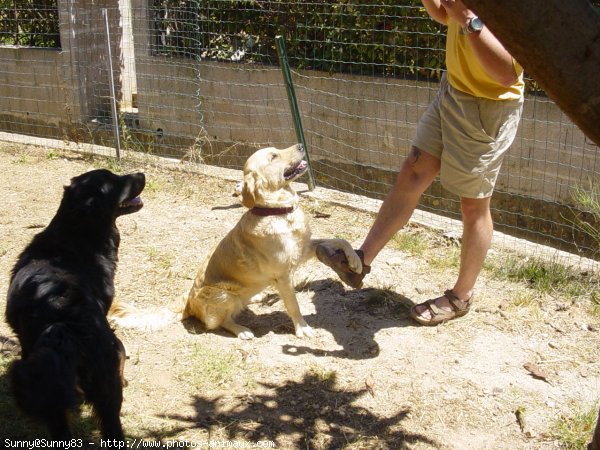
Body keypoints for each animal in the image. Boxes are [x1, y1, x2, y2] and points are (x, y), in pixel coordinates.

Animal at [183, 143, 360, 338]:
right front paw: (302, 328)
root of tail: (188, 307)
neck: (280, 212)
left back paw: (256, 298)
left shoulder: (303, 248)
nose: (301, 145)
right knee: (222, 322)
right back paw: (242, 330)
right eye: (273, 156)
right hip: (224, 295)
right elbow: (293, 305)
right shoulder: (284, 275)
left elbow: (340, 240)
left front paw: (355, 261)